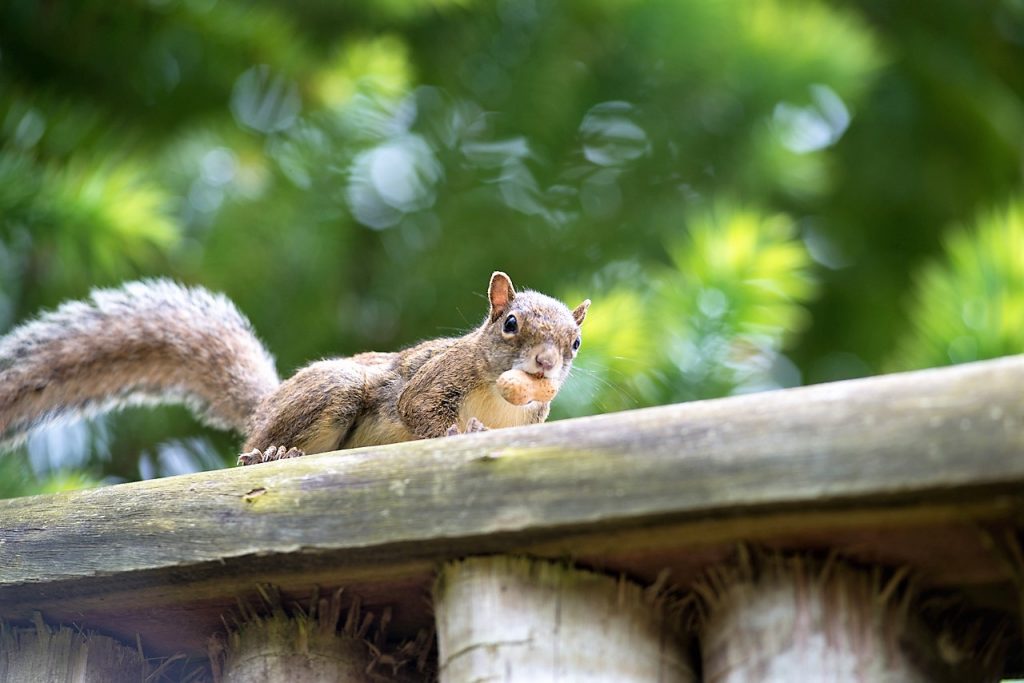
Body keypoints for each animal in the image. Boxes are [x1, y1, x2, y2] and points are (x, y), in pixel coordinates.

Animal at [0, 270, 589, 464]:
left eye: (576, 342)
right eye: (510, 324)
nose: (544, 363)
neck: (500, 398)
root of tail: (266, 402)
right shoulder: (436, 377)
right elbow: (418, 409)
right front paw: (459, 431)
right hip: (332, 391)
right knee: (254, 447)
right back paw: (271, 454)